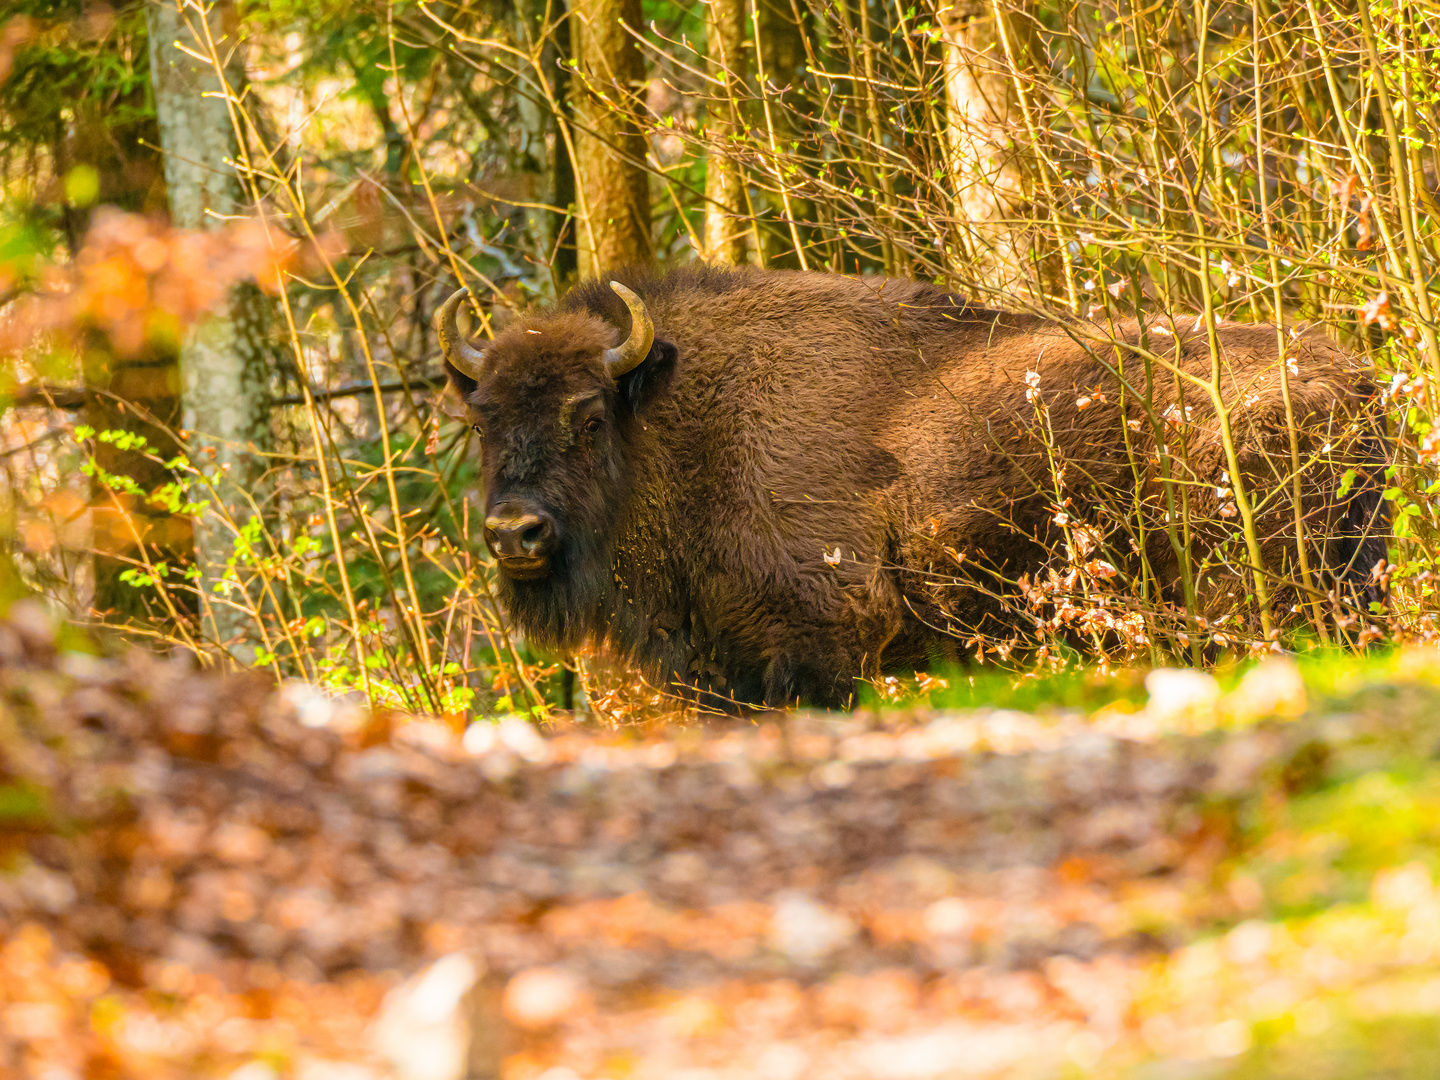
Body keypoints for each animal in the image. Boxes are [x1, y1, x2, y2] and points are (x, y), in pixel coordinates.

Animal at [434, 266, 1382, 711]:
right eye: (480, 418)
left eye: (590, 416)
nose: (515, 534)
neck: (677, 416)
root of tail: (1356, 379)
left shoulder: (818, 643)